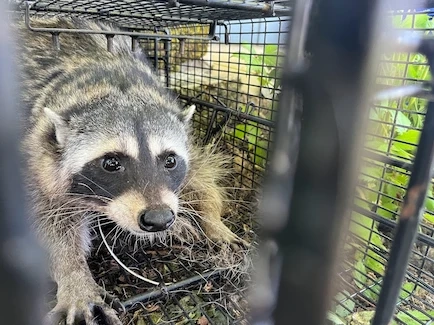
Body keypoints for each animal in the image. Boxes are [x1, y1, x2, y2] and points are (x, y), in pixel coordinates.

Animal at [12, 17, 244, 324]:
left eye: (170, 161)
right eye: (111, 163)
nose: (159, 219)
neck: (115, 84)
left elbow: (200, 175)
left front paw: (210, 218)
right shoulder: (36, 156)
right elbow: (50, 222)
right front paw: (74, 275)